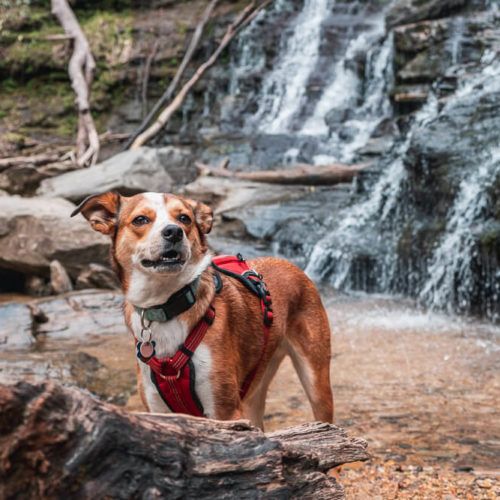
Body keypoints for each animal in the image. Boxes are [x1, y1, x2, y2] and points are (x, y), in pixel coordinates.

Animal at [73, 189, 332, 428]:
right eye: (140, 219)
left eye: (184, 218)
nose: (174, 232)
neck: (166, 306)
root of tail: (290, 265)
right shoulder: (159, 411)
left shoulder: (225, 411)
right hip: (254, 390)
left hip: (316, 381)